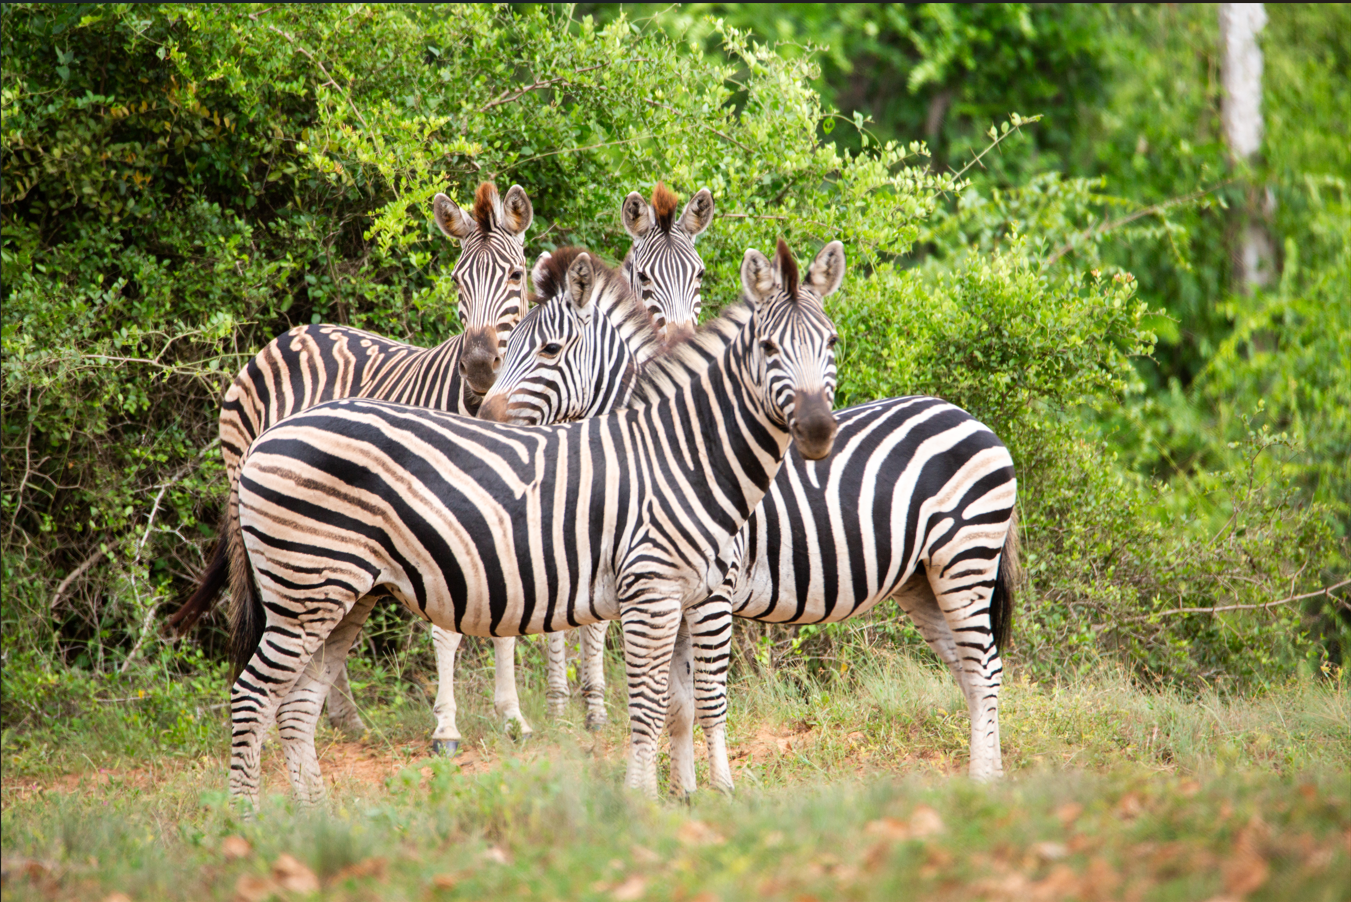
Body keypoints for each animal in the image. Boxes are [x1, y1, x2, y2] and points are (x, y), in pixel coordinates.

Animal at [170, 182, 535, 751]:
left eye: (516, 274)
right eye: (456, 280)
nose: (478, 368)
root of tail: (288, 334)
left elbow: (509, 617)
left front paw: (512, 716)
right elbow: (447, 629)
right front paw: (446, 726)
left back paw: (341, 717)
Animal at [224, 239, 844, 807]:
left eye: (832, 343)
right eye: (768, 347)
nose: (818, 430)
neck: (681, 454)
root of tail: (268, 435)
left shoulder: (695, 594)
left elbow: (687, 704)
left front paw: (694, 797)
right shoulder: (655, 593)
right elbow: (653, 706)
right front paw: (650, 802)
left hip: (345, 596)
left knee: (296, 706)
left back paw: (315, 818)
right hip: (305, 590)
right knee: (253, 698)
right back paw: (244, 822)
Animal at [476, 254, 1020, 790]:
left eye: (549, 349)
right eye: (510, 345)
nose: (484, 416)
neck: (667, 451)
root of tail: (968, 417)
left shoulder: (713, 591)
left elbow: (705, 700)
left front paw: (716, 791)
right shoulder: (673, 591)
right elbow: (677, 706)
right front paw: (684, 794)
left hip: (964, 558)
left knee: (985, 668)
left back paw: (985, 782)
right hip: (921, 579)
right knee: (970, 670)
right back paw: (986, 780)